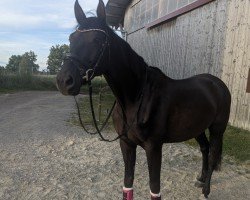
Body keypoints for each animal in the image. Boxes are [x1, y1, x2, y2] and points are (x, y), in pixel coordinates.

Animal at [56, 0, 230, 199]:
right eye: (71, 38)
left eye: (97, 40)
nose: (64, 81)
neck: (135, 97)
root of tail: (217, 83)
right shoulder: (126, 144)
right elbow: (128, 183)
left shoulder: (153, 148)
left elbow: (154, 188)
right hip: (197, 128)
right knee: (205, 149)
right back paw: (200, 179)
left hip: (217, 129)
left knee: (213, 154)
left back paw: (206, 190)